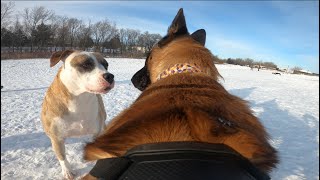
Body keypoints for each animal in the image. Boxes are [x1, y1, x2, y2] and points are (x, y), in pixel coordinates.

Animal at [40, 50, 114, 179]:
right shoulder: (56, 138)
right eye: (86, 64)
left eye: (106, 65)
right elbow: (62, 156)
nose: (109, 76)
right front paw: (68, 172)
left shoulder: (98, 131)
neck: (80, 98)